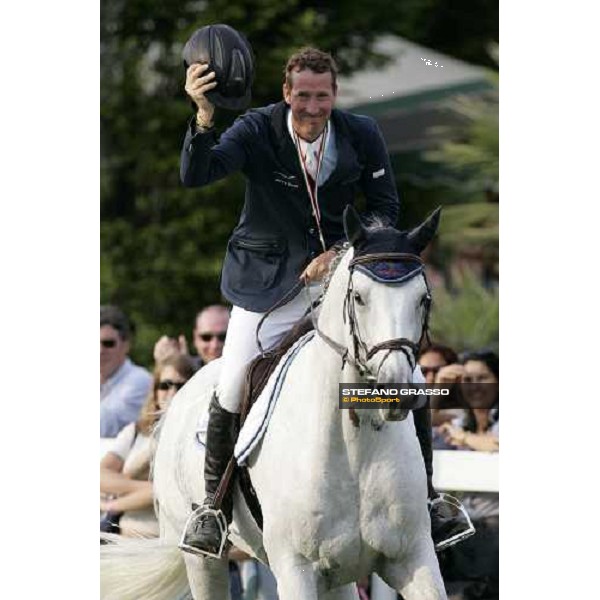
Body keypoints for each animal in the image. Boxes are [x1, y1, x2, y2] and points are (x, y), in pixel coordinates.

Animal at [101, 206, 446, 600]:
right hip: (201, 557)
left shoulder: (413, 557)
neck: (354, 443)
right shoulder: (296, 570)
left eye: (424, 299)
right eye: (359, 297)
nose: (395, 388)